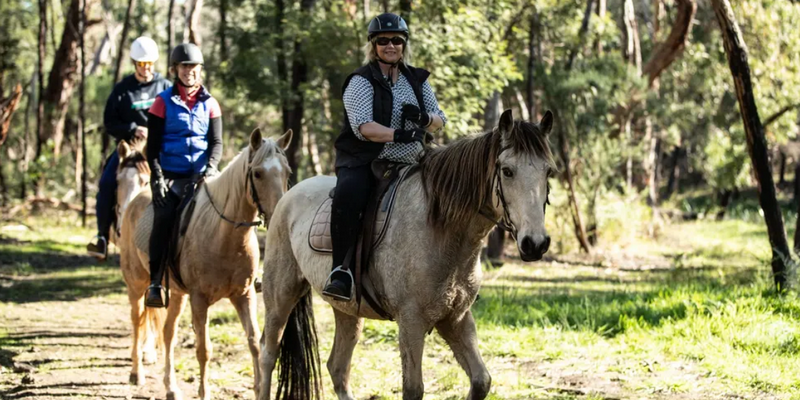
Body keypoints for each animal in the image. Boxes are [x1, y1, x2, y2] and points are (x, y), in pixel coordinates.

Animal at [118, 128, 293, 400]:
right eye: (257, 173)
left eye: (287, 172)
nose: (278, 215)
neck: (225, 234)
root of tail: (136, 199)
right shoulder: (199, 299)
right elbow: (204, 349)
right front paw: (204, 393)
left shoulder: (244, 295)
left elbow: (254, 342)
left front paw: (257, 388)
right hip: (136, 284)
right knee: (137, 321)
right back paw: (137, 373)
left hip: (178, 294)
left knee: (168, 333)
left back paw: (171, 387)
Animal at [257, 109, 555, 400]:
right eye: (507, 171)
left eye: (548, 172)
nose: (535, 243)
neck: (442, 230)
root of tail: (288, 196)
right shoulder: (411, 321)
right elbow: (413, 389)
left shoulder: (456, 318)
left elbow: (481, 381)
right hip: (280, 297)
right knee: (268, 354)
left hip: (346, 309)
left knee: (337, 368)